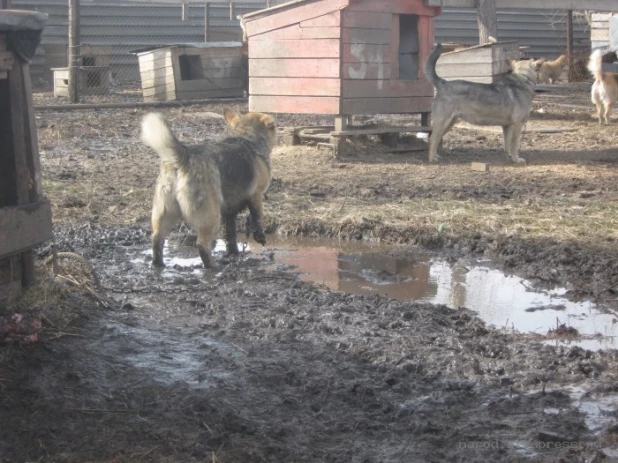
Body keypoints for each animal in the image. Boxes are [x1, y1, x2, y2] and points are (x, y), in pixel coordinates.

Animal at [141, 109, 276, 268]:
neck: (246, 138)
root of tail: (185, 158)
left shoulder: (230, 211)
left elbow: (230, 234)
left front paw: (233, 253)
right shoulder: (256, 196)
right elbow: (257, 217)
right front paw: (259, 236)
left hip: (165, 213)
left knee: (157, 239)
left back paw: (158, 264)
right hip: (210, 216)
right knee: (202, 245)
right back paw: (213, 266)